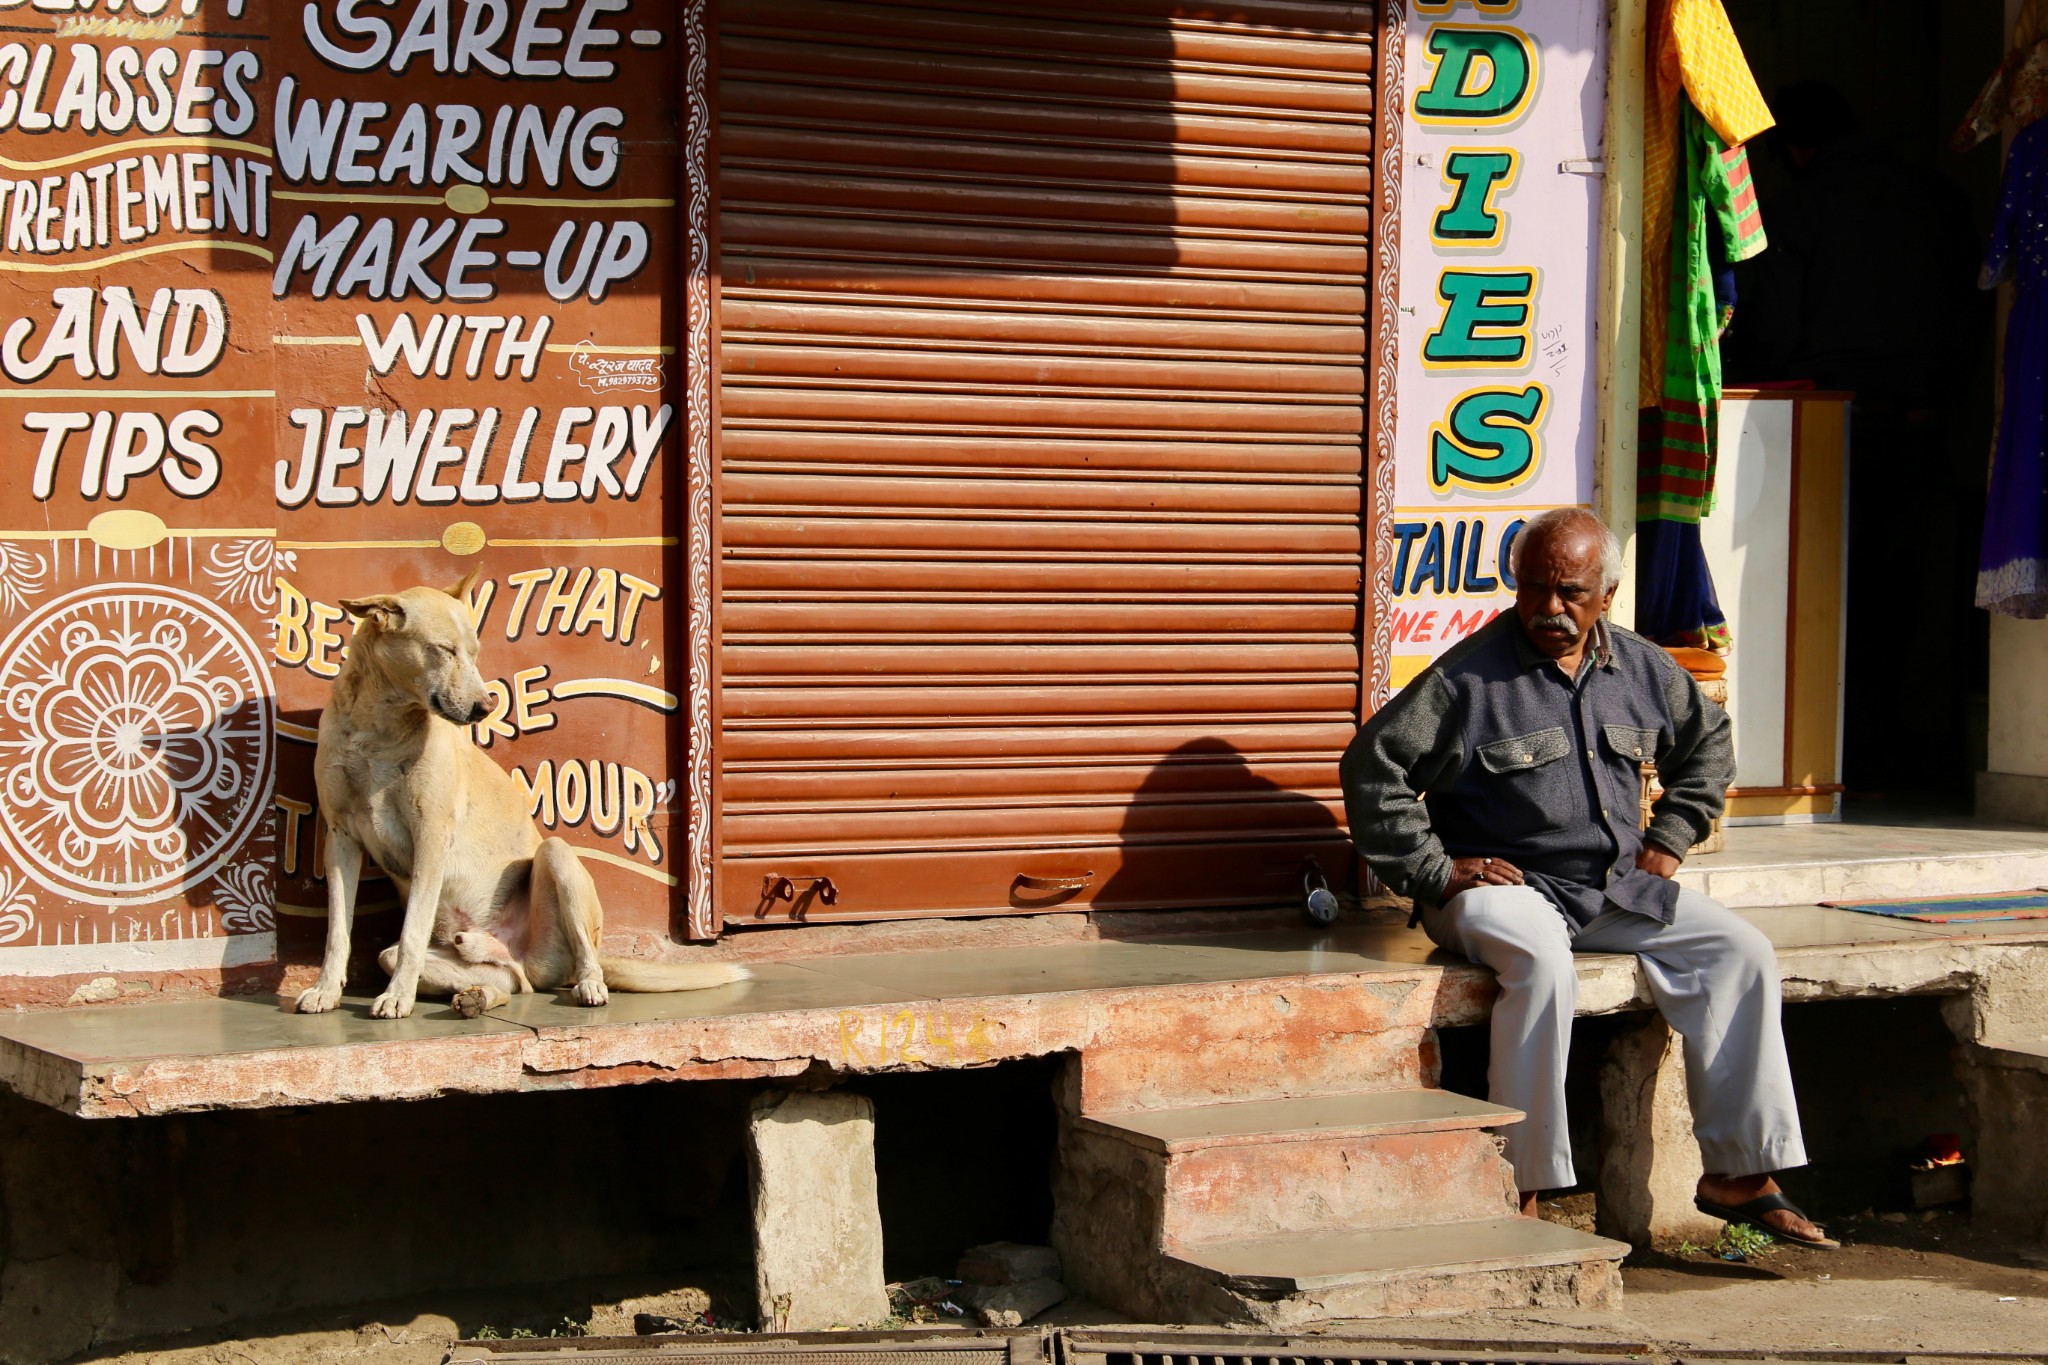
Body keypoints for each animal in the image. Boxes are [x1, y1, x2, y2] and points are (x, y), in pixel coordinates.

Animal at [292, 568, 749, 1023]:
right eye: (443, 650)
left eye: (474, 652)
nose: (485, 707)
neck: (379, 726)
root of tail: (519, 952)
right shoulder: (341, 839)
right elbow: (338, 931)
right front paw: (325, 990)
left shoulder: (431, 836)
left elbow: (412, 934)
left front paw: (397, 996)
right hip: (486, 960)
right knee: (512, 982)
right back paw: (477, 993)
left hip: (558, 858)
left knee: (575, 959)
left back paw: (588, 984)